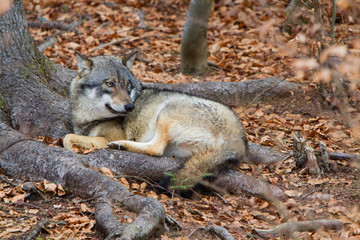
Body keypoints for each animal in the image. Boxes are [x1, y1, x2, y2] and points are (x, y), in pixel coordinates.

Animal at [63, 51, 248, 196]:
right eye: (110, 84)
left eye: (127, 85)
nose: (130, 107)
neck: (89, 116)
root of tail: (239, 137)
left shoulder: (108, 136)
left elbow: (67, 137)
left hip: (166, 111)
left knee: (156, 148)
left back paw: (121, 145)